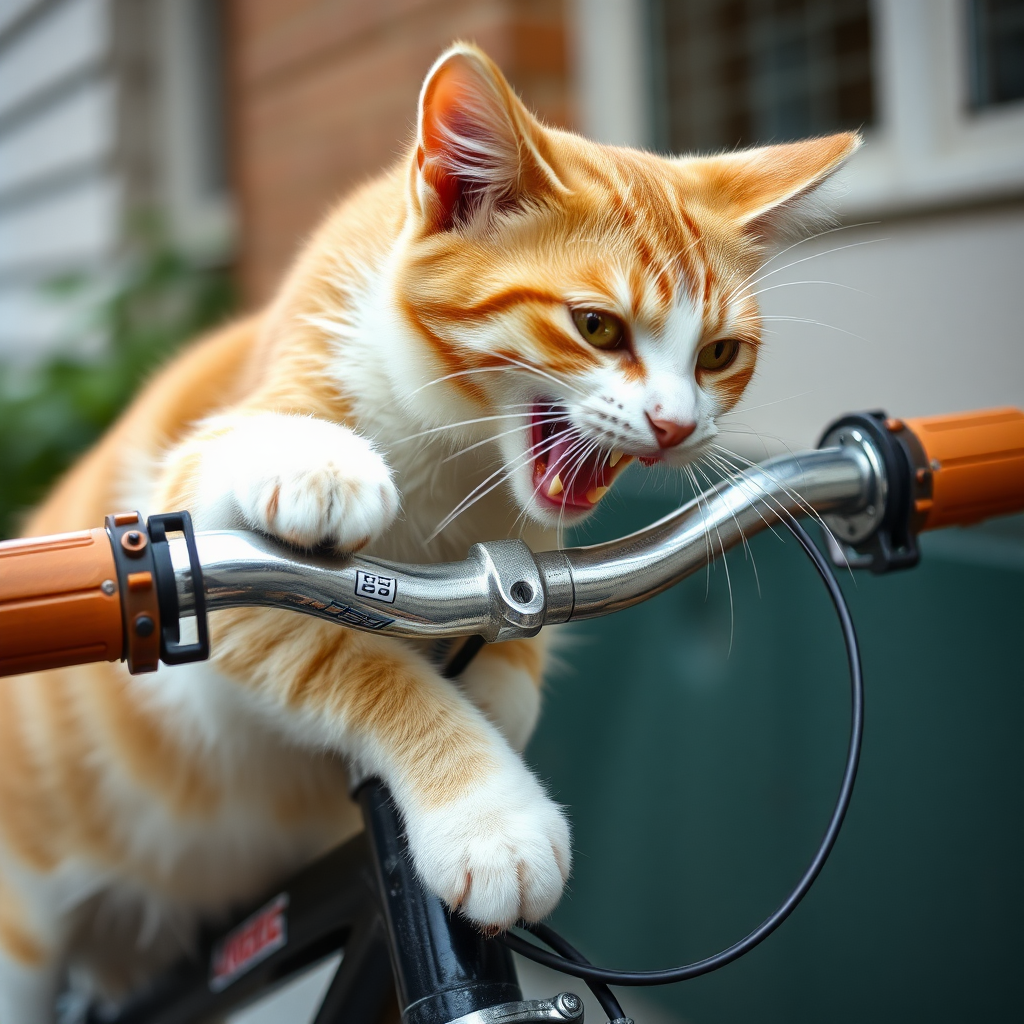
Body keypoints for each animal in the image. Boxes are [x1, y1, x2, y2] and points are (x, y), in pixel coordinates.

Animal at [2, 41, 856, 1024]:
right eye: (596, 326)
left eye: (718, 354)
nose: (677, 426)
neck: (456, 448)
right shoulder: (202, 565)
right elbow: (360, 659)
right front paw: (489, 813)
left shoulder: (529, 554)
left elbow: (524, 601)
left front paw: (500, 687)